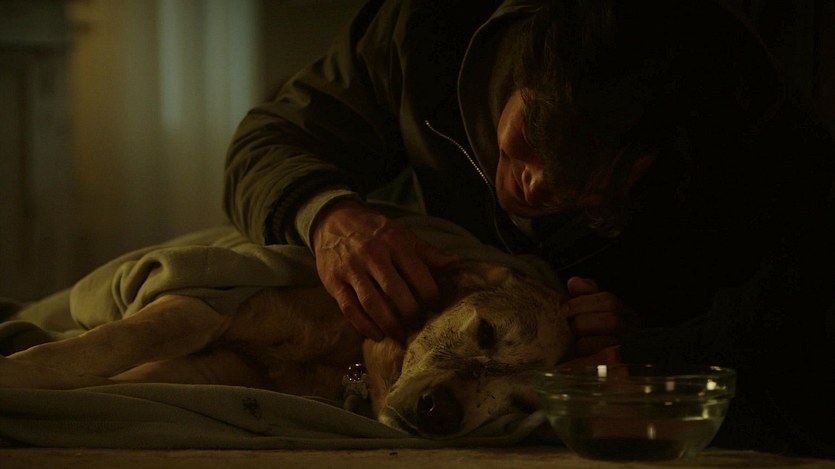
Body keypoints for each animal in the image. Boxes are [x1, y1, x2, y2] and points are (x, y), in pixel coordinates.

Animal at [0, 260, 570, 438]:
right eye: (487, 332)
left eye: (523, 403)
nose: (442, 413)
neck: (345, 358)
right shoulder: (206, 305)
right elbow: (106, 343)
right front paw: (16, 371)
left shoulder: (202, 369)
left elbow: (101, 371)